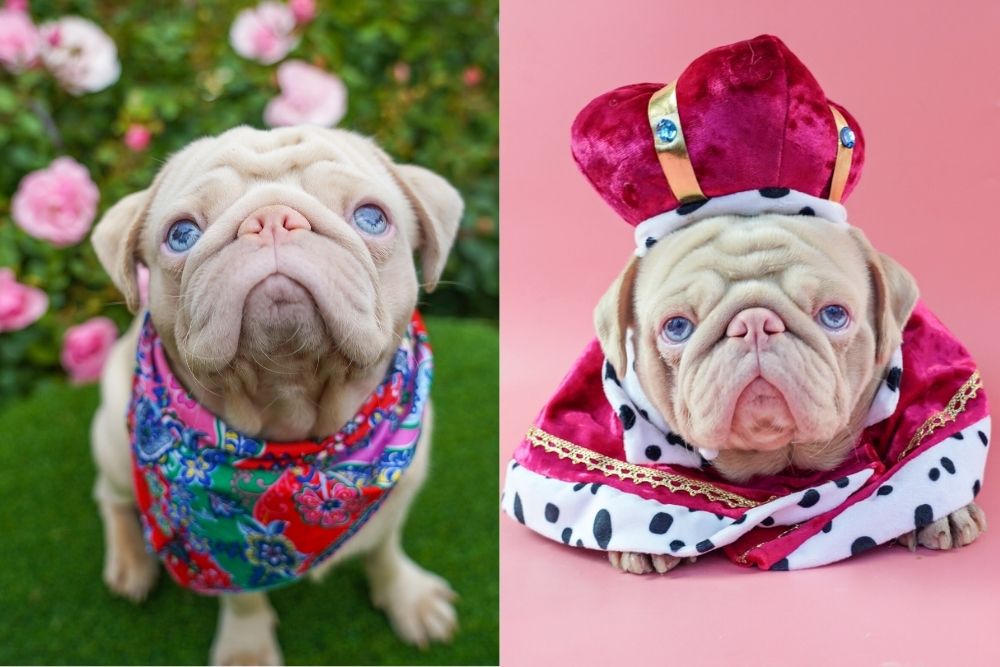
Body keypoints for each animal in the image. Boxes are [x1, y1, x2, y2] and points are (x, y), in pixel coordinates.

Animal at [88, 125, 462, 664]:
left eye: (372, 218)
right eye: (181, 235)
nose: (270, 220)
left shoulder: (398, 495)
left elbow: (384, 548)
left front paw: (406, 596)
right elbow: (243, 600)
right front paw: (246, 648)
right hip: (114, 443)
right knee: (111, 496)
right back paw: (129, 561)